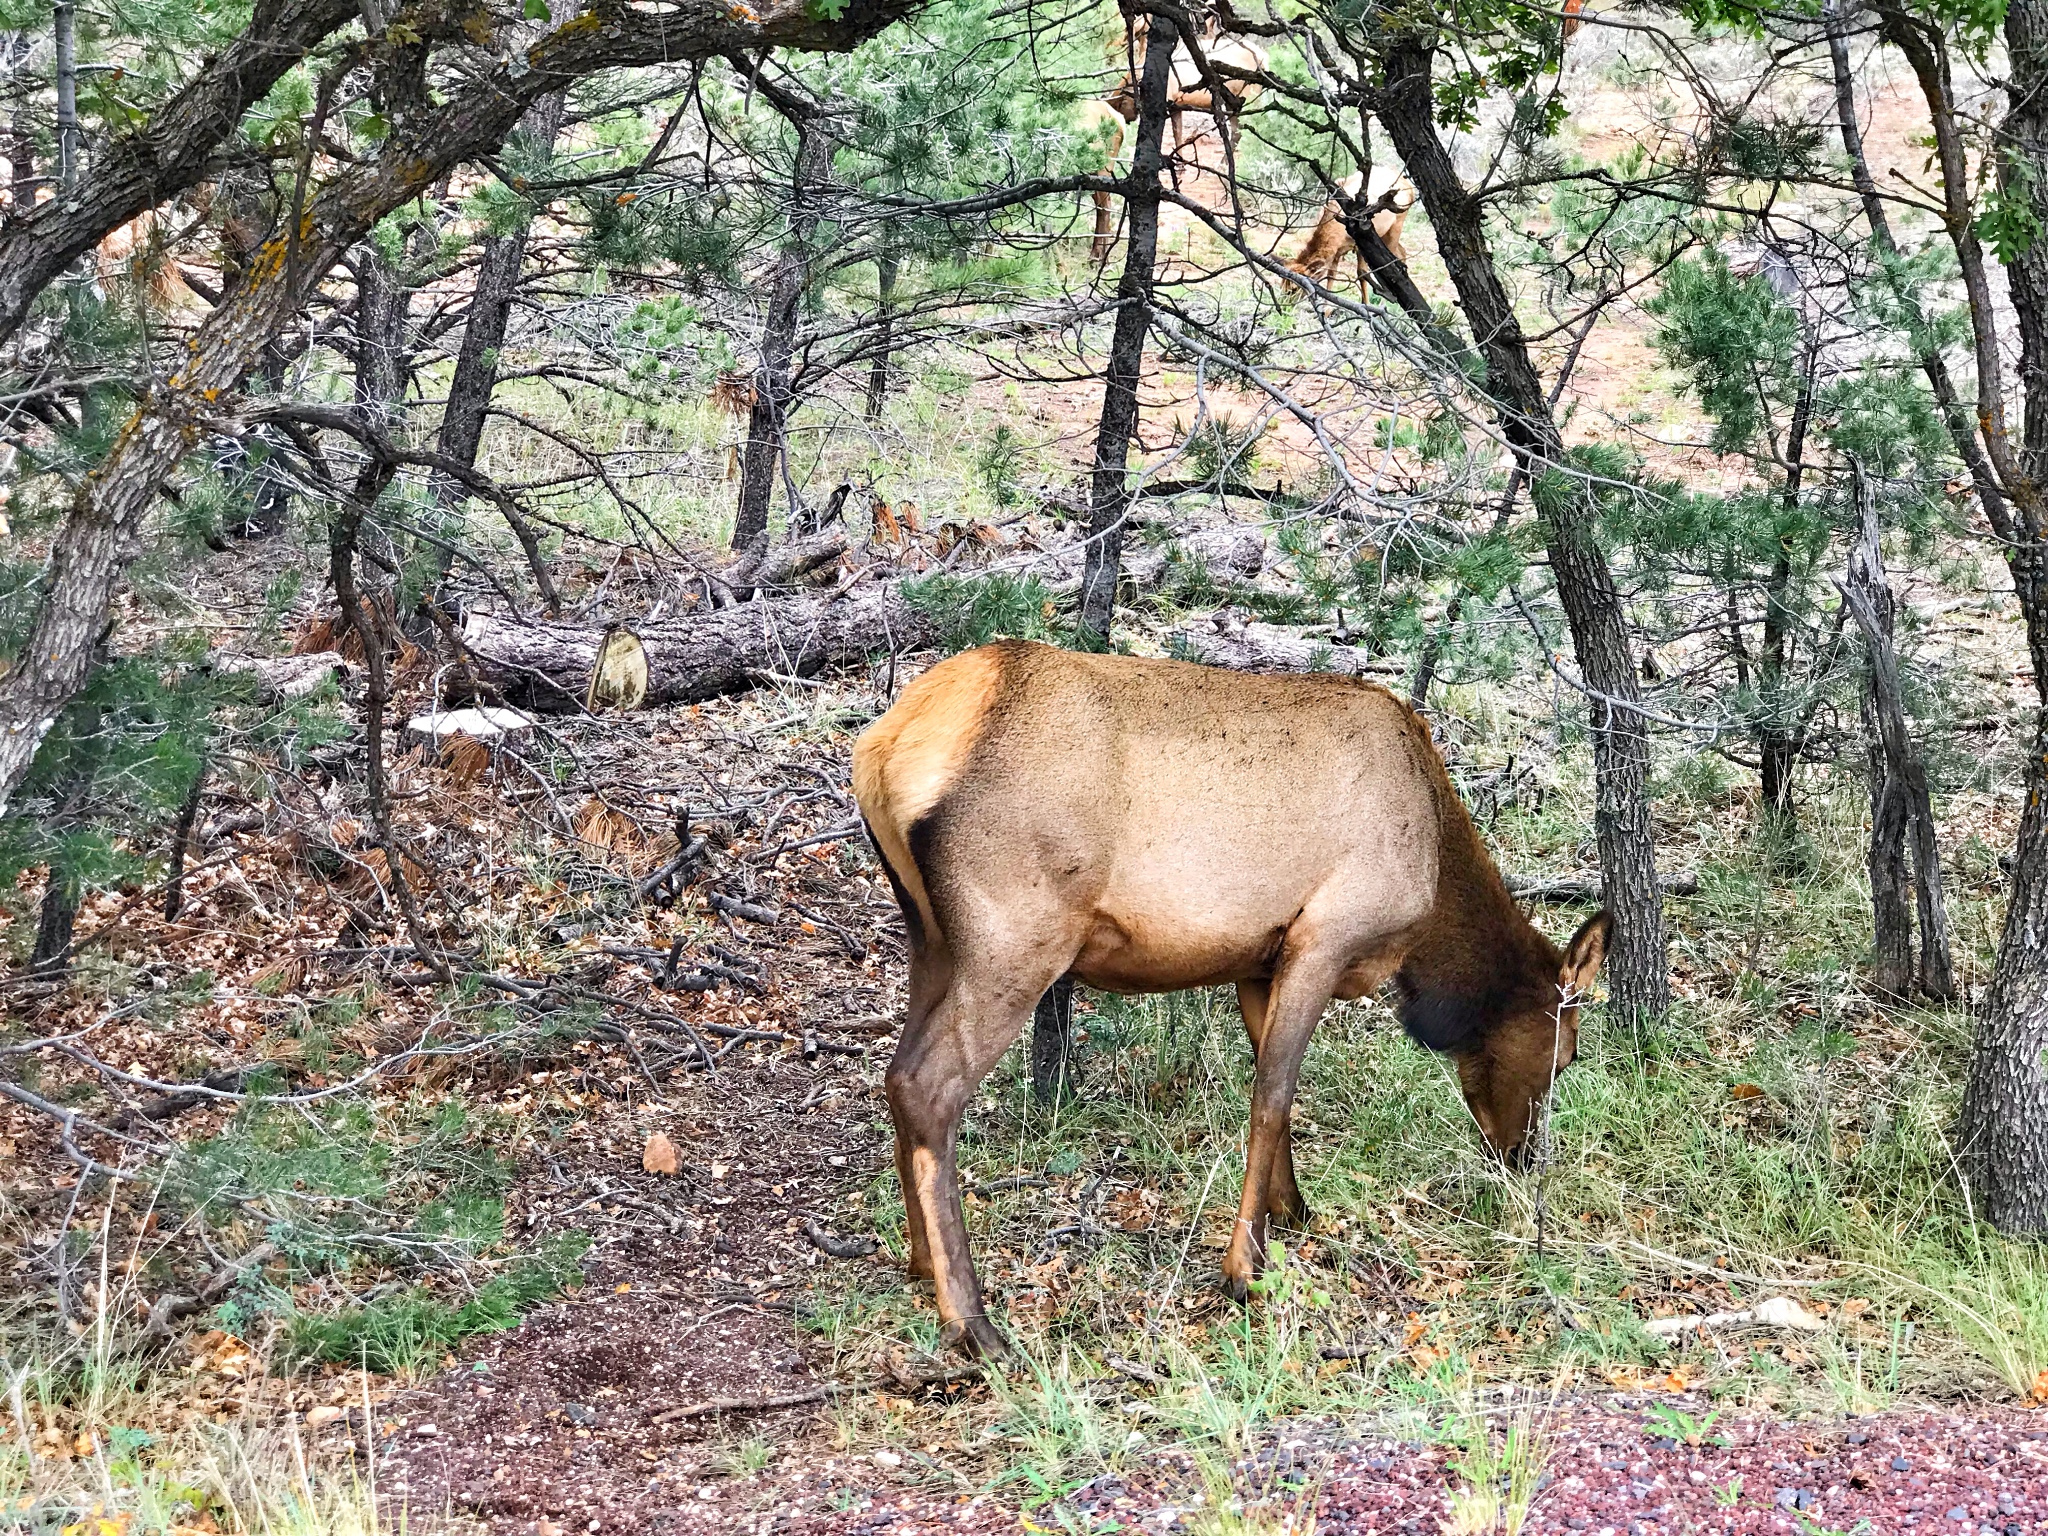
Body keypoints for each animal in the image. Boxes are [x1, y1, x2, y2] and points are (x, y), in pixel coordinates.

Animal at [851, 638, 1613, 1359]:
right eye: (1565, 1055)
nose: (1523, 1157)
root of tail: (882, 749)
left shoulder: (1258, 960)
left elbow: (1274, 1095)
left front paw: (1291, 1211)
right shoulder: (1325, 936)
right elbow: (1272, 1095)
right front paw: (1244, 1268)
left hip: (930, 937)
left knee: (895, 1073)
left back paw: (921, 1264)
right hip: (1015, 937)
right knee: (928, 1084)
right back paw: (972, 1322)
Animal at [1286, 172, 1417, 303]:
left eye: (1293, 289)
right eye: (1283, 285)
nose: (1288, 303)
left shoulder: (1361, 241)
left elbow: (1362, 273)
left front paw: (1366, 304)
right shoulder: (1337, 250)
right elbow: (1331, 274)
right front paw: (1327, 306)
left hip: (1397, 225)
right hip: (1383, 235)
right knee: (1402, 251)